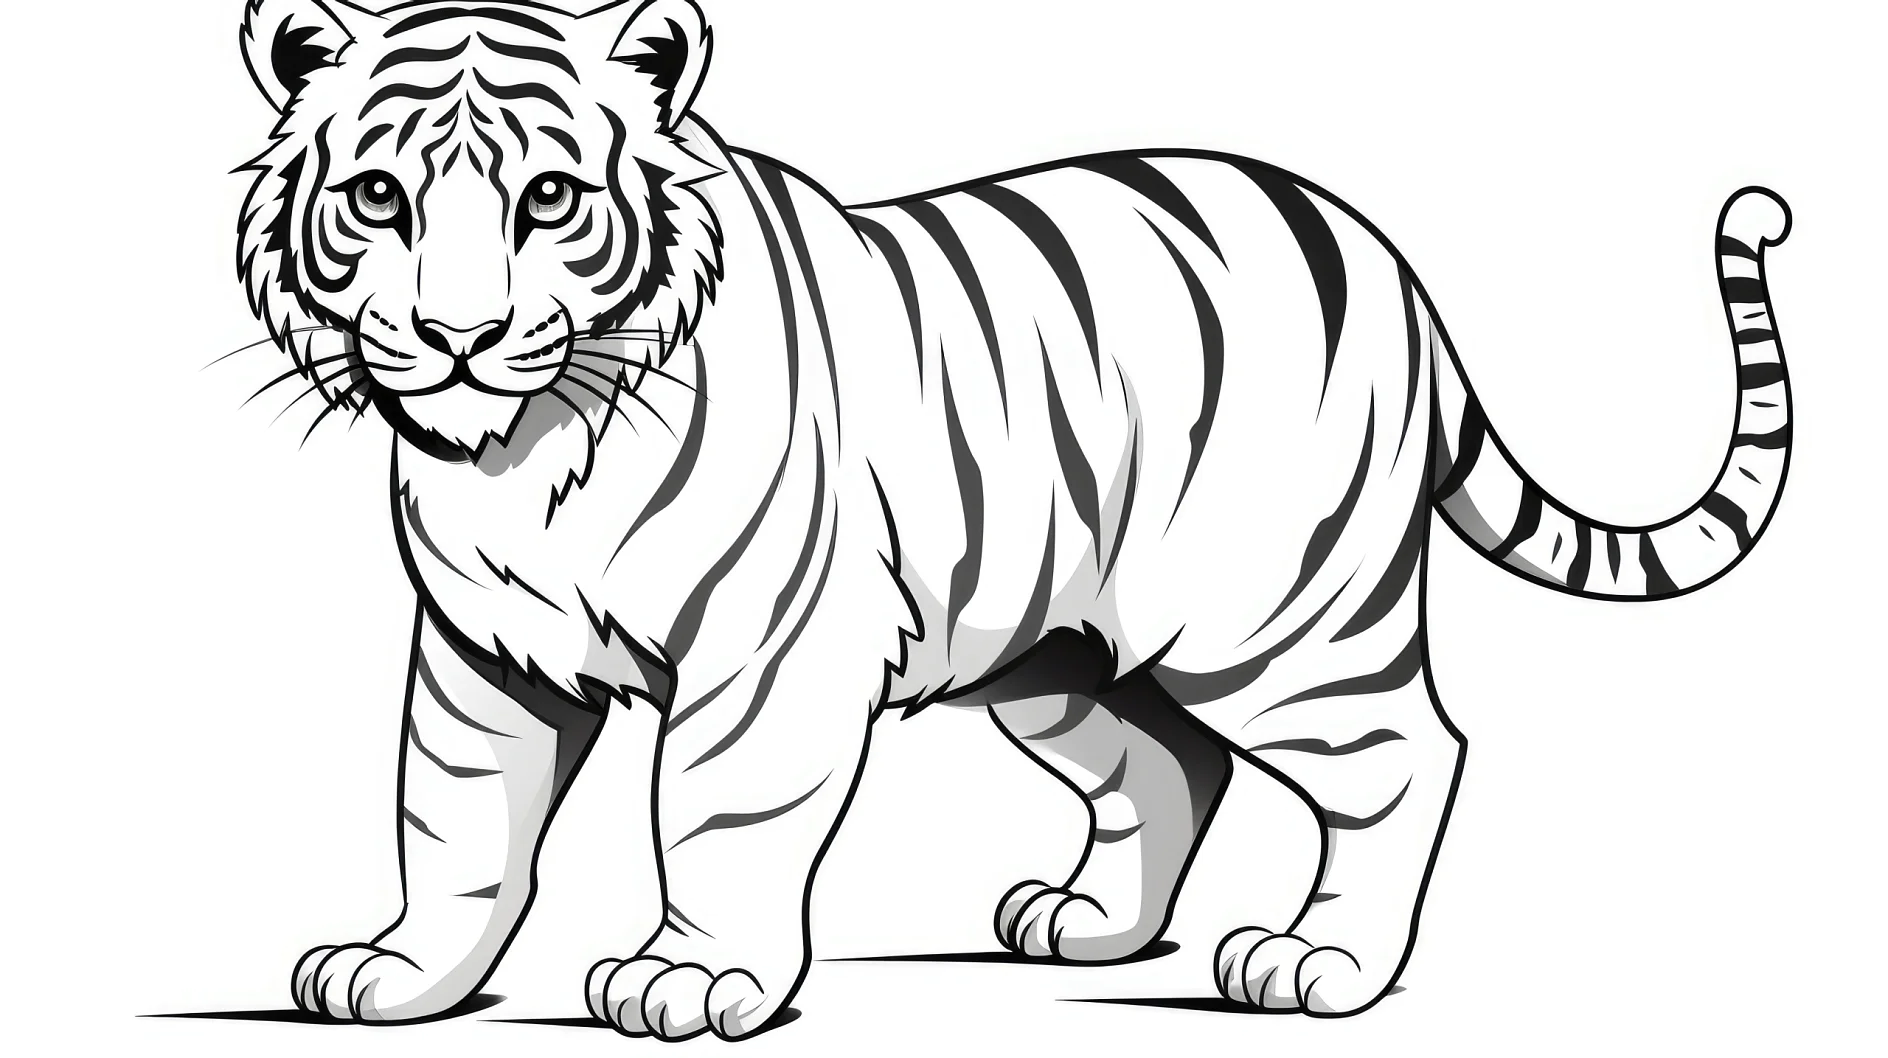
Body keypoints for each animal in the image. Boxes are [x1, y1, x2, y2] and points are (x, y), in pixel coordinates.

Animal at [232, 0, 1796, 1039]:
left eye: (550, 197)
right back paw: (1088, 925)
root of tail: (1388, 257)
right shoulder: (479, 654)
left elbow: (717, 814)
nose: (458, 336)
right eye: (377, 197)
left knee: (1409, 753)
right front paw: (401, 973)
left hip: (1277, 617)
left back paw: (1319, 965)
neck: (520, 455)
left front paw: (691, 975)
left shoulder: (766, 654)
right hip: (1056, 649)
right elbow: (451, 815)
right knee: (1171, 762)